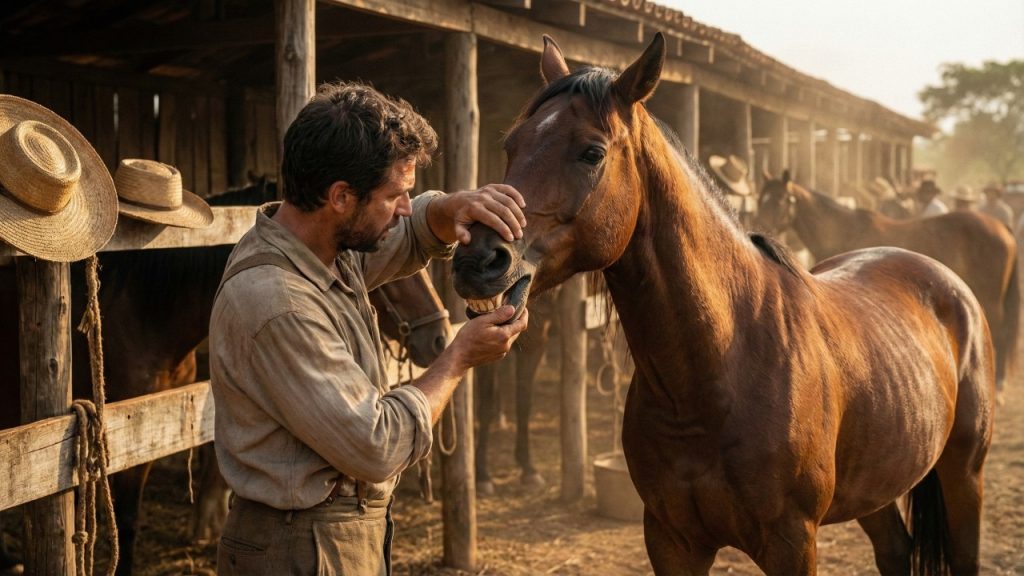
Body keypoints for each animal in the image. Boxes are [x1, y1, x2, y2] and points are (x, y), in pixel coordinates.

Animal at [0, 182, 450, 574]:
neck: (145, 312)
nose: (441, 337)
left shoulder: (143, 440)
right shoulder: (121, 437)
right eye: (399, 279)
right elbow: (123, 521)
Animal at [755, 171, 1020, 392]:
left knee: (1003, 331)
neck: (846, 230)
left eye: (780, 199)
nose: (762, 226)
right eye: (761, 199)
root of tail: (1002, 226)